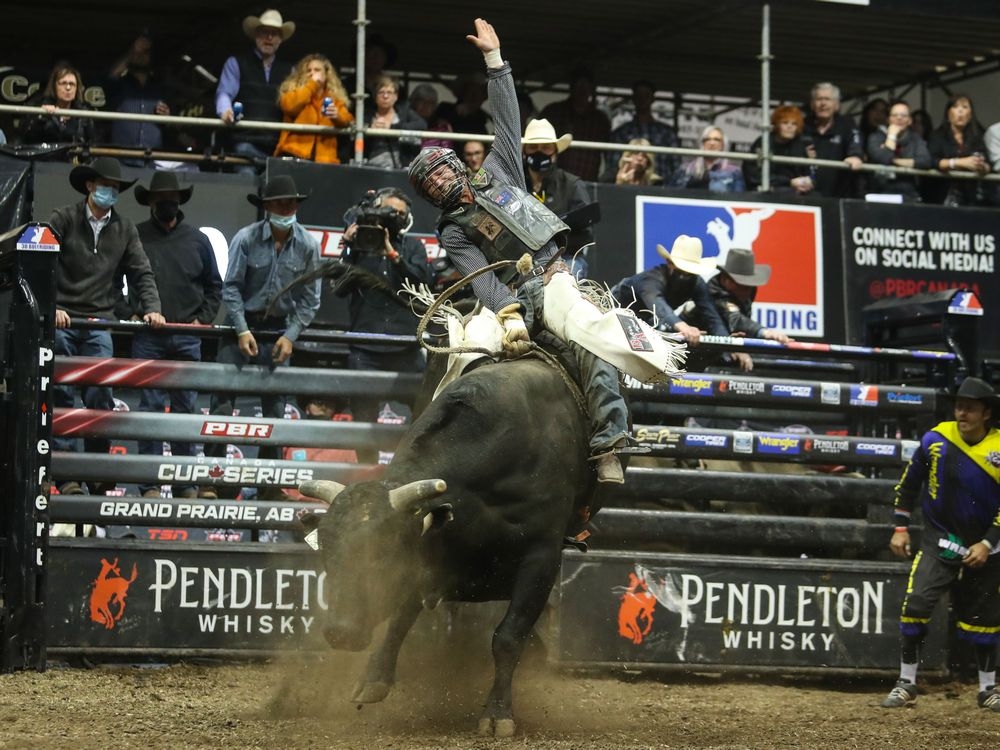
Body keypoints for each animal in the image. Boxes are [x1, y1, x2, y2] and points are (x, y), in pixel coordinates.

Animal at [300, 356, 596, 736]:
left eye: (386, 552)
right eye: (326, 552)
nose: (340, 632)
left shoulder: (541, 558)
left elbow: (508, 637)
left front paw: (498, 714)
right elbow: (400, 619)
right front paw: (373, 680)